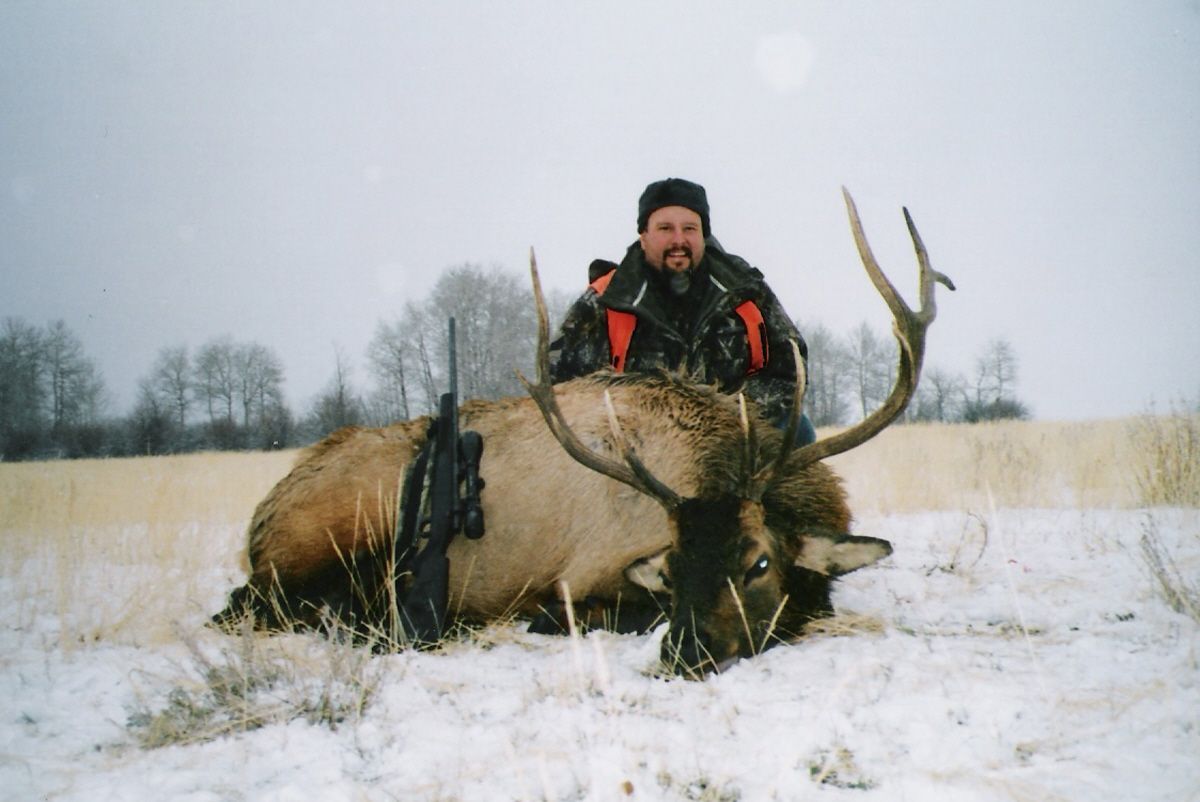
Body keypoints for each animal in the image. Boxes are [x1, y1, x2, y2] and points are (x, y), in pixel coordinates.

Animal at [213, 188, 954, 677]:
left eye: (759, 562)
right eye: (673, 569)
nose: (684, 652)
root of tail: (259, 518)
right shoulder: (583, 577)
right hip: (320, 540)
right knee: (251, 606)